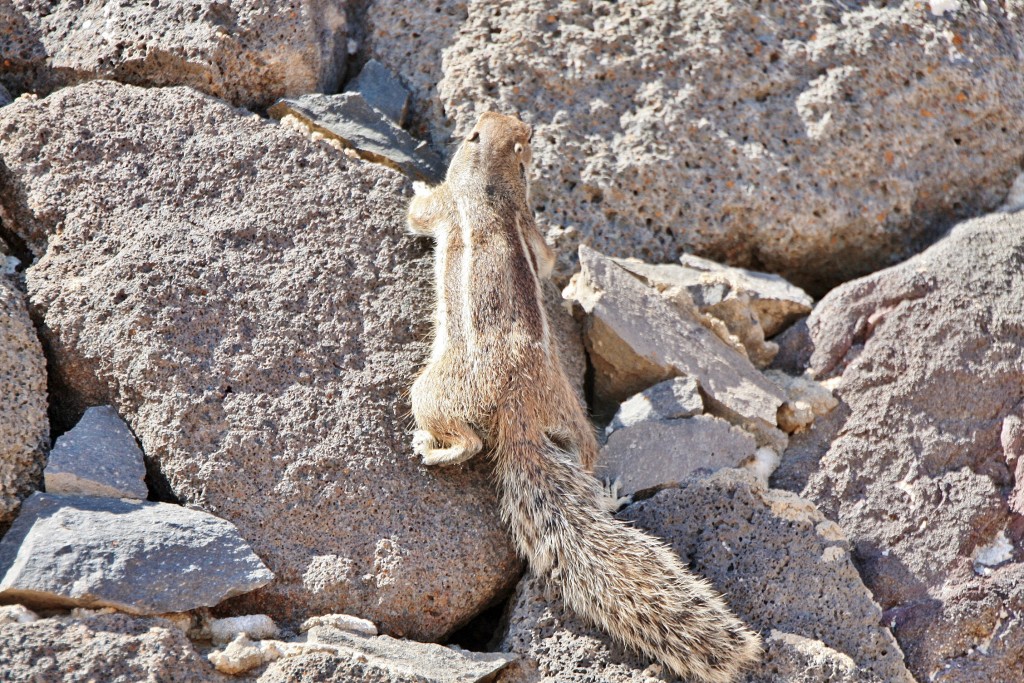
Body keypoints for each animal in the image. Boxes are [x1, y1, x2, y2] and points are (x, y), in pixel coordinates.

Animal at [407, 109, 761, 679]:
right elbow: (548, 258)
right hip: (571, 414)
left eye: (486, 127)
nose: (512, 117)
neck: (492, 186)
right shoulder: (529, 228)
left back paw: (432, 448)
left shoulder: (444, 206)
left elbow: (418, 212)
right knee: (586, 454)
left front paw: (415, 183)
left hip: (432, 389)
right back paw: (608, 496)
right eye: (516, 132)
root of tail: (519, 412)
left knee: (469, 441)